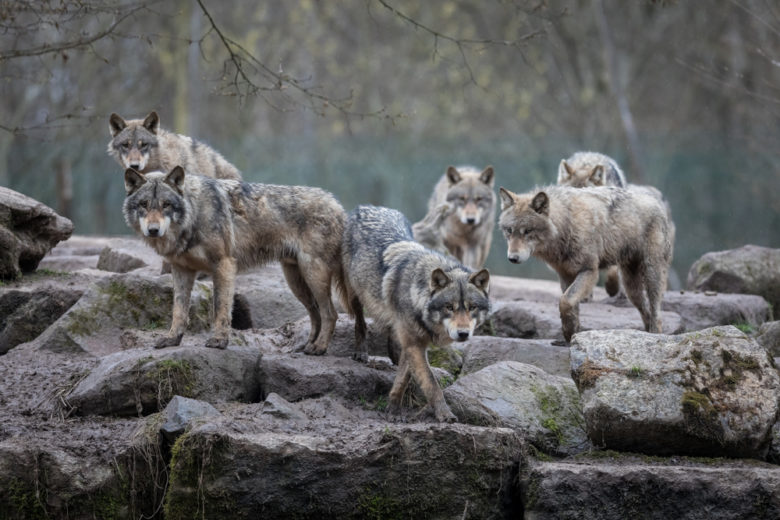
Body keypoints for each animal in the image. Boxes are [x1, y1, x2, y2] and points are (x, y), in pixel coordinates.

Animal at [124, 167, 344, 354]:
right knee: (316, 314)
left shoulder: (224, 264)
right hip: (296, 281)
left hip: (313, 275)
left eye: (166, 205)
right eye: (144, 205)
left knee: (330, 314)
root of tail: (337, 204)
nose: (153, 230)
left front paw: (219, 341)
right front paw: (172, 339)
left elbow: (221, 307)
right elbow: (178, 310)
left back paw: (319, 348)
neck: (194, 214)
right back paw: (307, 345)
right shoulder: (181, 270)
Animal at [340, 204, 488, 422]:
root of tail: (369, 207)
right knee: (360, 322)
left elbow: (404, 377)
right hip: (354, 294)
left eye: (472, 307)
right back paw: (361, 352)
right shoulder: (415, 344)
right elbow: (431, 383)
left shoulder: (413, 344)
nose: (463, 334)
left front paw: (393, 407)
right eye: (449, 307)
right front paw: (444, 414)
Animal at [500, 185, 672, 344]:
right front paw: (571, 336)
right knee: (646, 311)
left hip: (651, 275)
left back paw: (655, 336)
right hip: (631, 288)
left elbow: (565, 301)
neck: (567, 224)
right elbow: (570, 305)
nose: (512, 258)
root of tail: (656, 200)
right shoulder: (565, 275)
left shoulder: (589, 271)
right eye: (509, 230)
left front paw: (570, 333)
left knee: (656, 312)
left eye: (527, 231)